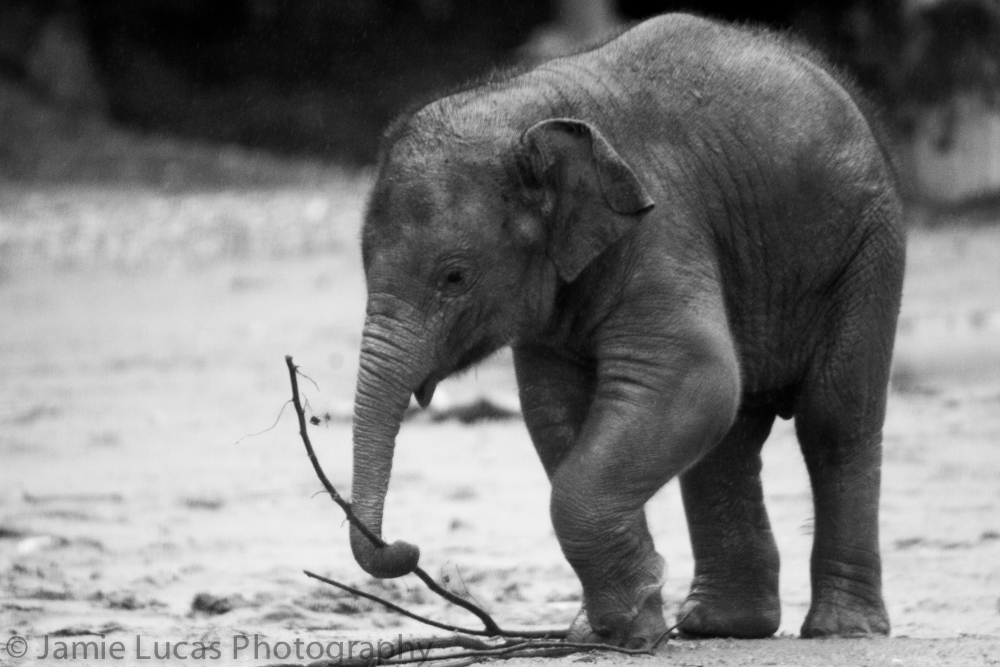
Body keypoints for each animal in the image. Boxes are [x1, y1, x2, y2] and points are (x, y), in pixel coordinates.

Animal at [346, 13, 905, 647]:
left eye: (454, 277)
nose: (407, 547)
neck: (529, 107)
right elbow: (556, 410)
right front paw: (612, 628)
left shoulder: (661, 224)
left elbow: (695, 373)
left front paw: (627, 629)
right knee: (732, 436)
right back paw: (719, 626)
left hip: (868, 249)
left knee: (834, 417)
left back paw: (843, 631)